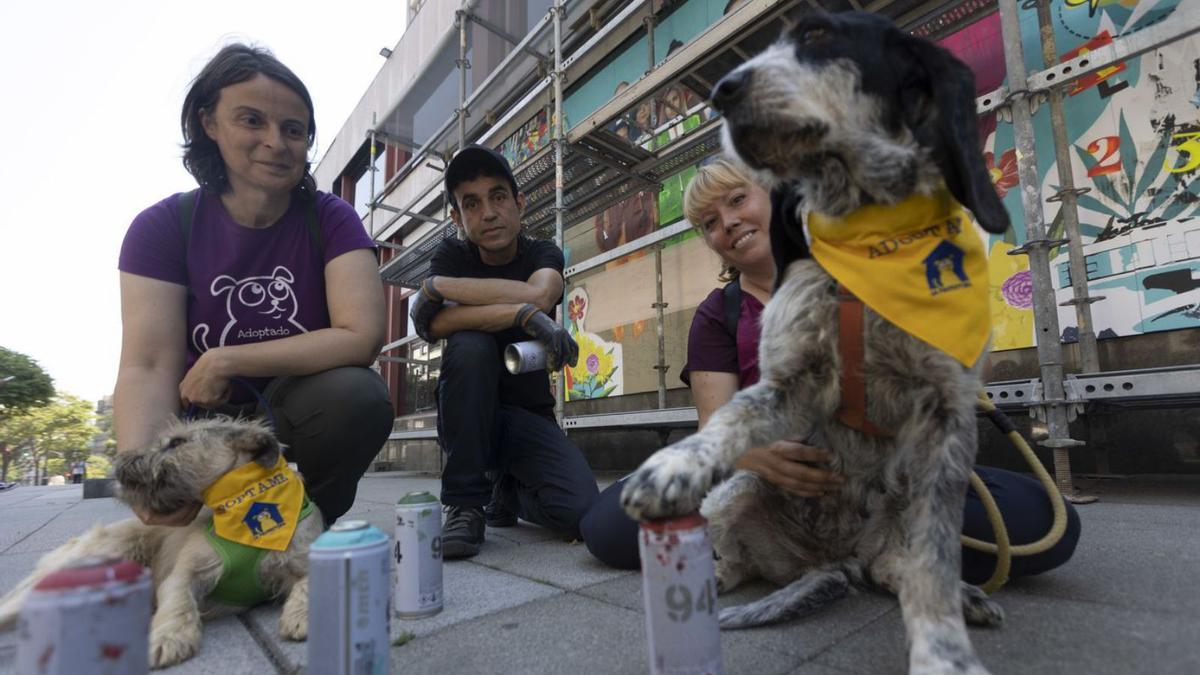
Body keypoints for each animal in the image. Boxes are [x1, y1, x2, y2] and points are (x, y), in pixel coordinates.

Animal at [0, 417, 321, 662]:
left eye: (177, 443)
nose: (120, 462)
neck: (243, 505)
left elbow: (307, 584)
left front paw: (302, 615)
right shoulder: (185, 572)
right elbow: (178, 601)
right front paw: (168, 636)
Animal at [628, 10, 1012, 672]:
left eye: (817, 34)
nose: (720, 93)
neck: (869, 223)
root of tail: (832, 559)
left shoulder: (948, 419)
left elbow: (934, 565)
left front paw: (943, 650)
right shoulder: (791, 383)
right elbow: (727, 420)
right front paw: (673, 464)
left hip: (907, 498)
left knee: (898, 566)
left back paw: (960, 594)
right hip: (739, 491)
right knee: (732, 560)